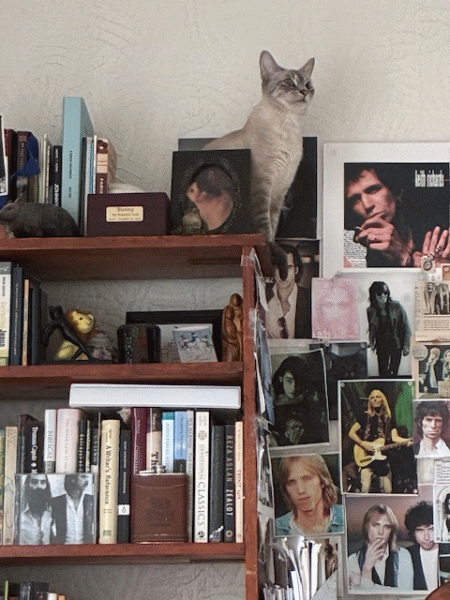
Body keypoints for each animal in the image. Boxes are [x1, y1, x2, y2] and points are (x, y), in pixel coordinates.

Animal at [203, 50, 315, 279]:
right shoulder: (263, 183)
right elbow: (264, 229)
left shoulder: (279, 191)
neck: (289, 124)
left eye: (308, 85)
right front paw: (275, 257)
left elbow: (273, 225)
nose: (304, 91)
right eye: (289, 82)